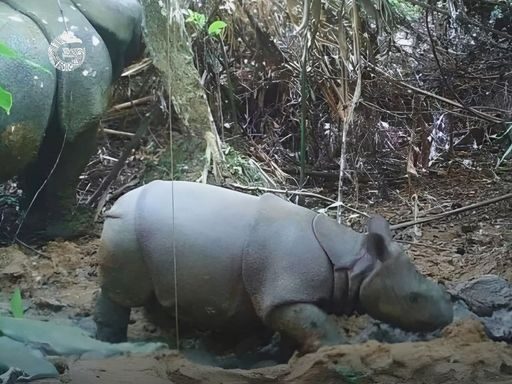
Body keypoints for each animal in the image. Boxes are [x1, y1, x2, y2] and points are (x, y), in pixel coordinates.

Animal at [94, 180, 454, 352]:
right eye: (413, 299)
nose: (447, 316)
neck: (354, 263)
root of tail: (115, 204)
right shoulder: (284, 293)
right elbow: (314, 322)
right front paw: (343, 347)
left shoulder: (280, 294)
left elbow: (298, 325)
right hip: (126, 232)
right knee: (121, 294)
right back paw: (112, 344)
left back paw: (186, 339)